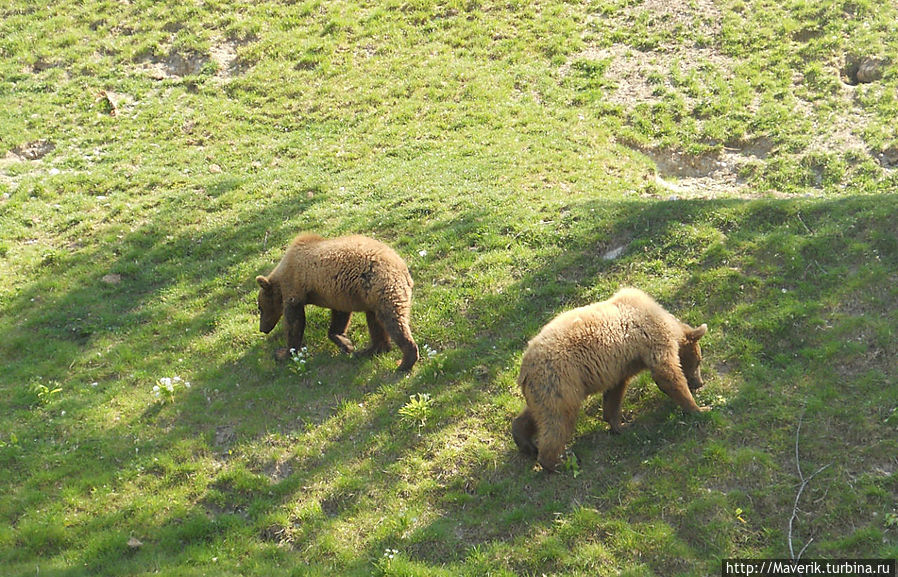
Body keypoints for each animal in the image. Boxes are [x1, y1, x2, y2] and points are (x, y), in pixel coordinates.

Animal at [254, 233, 418, 368]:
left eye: (260, 307)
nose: (262, 328)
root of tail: (403, 268)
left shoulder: (295, 288)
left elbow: (294, 322)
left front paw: (284, 353)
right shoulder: (340, 293)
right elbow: (339, 317)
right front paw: (346, 343)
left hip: (382, 287)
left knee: (393, 320)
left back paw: (405, 361)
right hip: (371, 297)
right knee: (375, 321)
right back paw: (370, 350)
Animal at [512, 286, 708, 470]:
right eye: (698, 361)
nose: (699, 383)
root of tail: (525, 367)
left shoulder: (620, 367)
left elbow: (614, 394)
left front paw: (619, 425)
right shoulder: (651, 338)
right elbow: (666, 373)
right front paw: (700, 408)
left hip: (544, 389)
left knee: (538, 413)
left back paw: (526, 444)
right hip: (560, 380)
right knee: (558, 419)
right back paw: (556, 463)